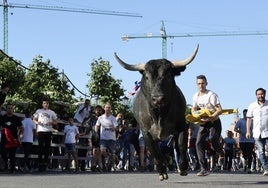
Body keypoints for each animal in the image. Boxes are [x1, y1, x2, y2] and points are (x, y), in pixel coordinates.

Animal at [114, 44, 199, 181]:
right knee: (157, 151)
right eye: (147, 77)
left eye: (169, 76)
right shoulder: (145, 133)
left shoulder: (182, 126)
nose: (158, 99)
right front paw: (162, 172)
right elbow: (154, 152)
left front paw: (183, 168)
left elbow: (181, 146)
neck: (159, 114)